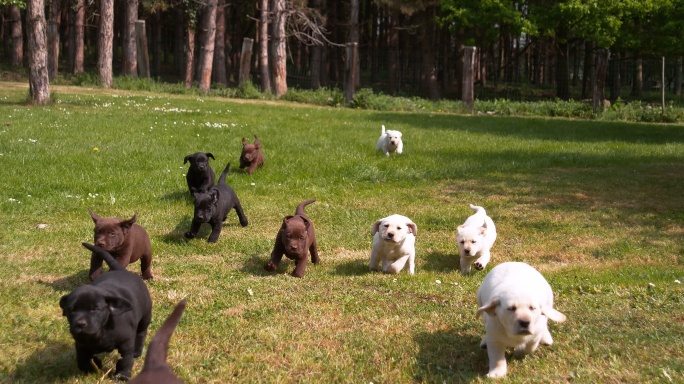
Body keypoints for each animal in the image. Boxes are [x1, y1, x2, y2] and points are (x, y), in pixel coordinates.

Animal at [60, 242, 152, 380]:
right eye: (71, 310)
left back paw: (137, 350)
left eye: (95, 309)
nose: (80, 324)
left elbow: (125, 360)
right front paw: (91, 369)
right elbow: (82, 360)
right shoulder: (81, 344)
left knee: (141, 332)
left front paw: (122, 376)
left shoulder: (126, 343)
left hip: (145, 316)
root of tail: (120, 270)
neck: (101, 331)